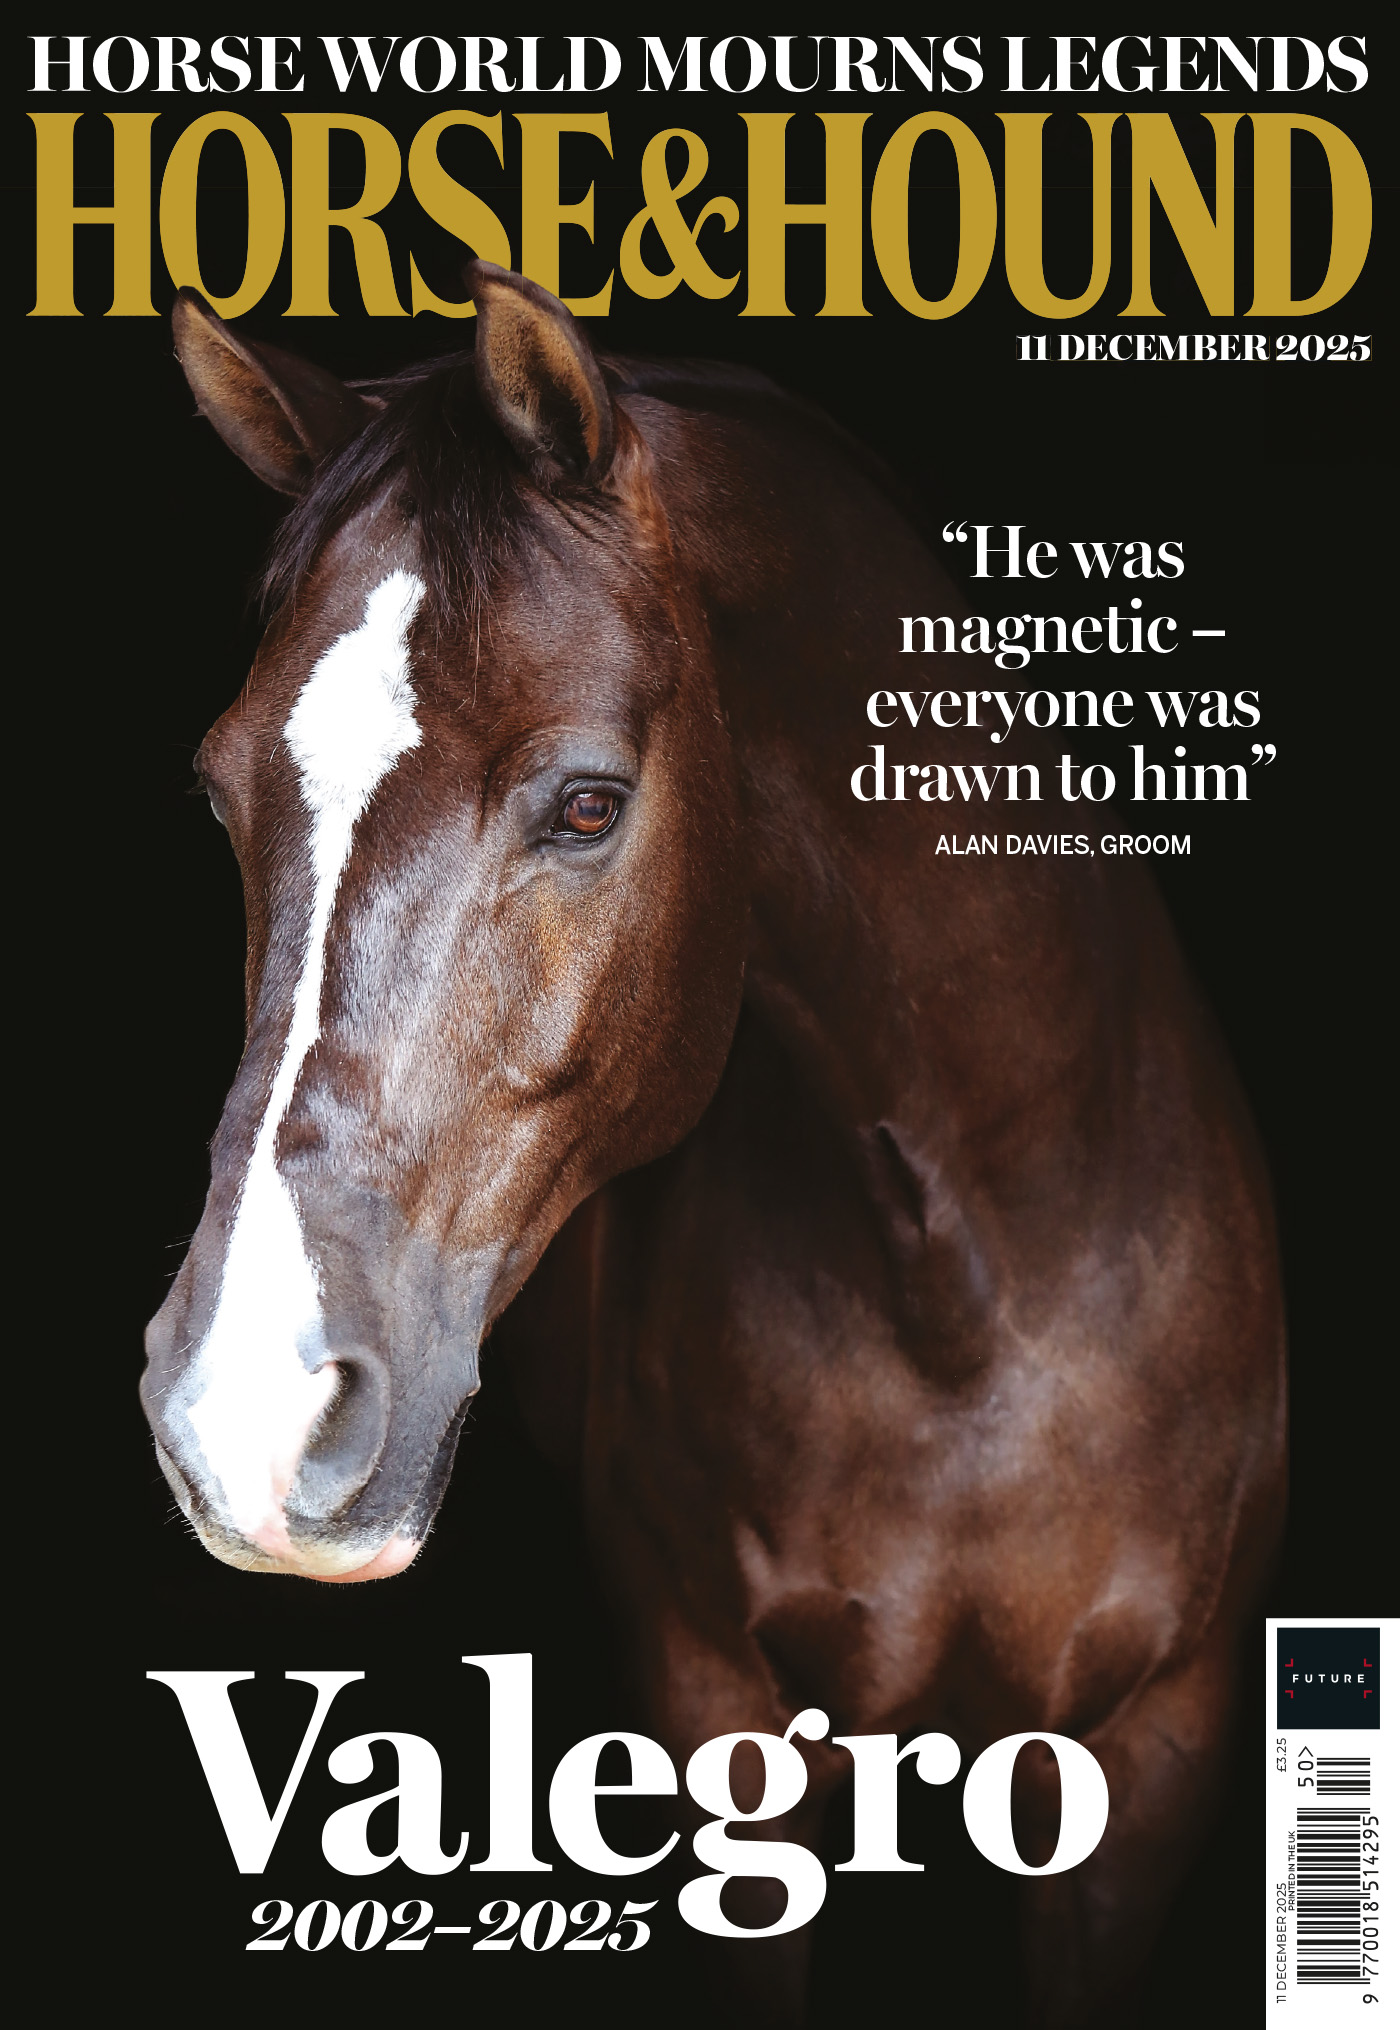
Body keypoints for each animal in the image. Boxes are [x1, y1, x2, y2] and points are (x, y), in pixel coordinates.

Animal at [141, 261, 1286, 2025]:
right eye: (219, 795)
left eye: (589, 803)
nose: (242, 1411)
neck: (969, 1297)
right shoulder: (720, 1724)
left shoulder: (1148, 1755)